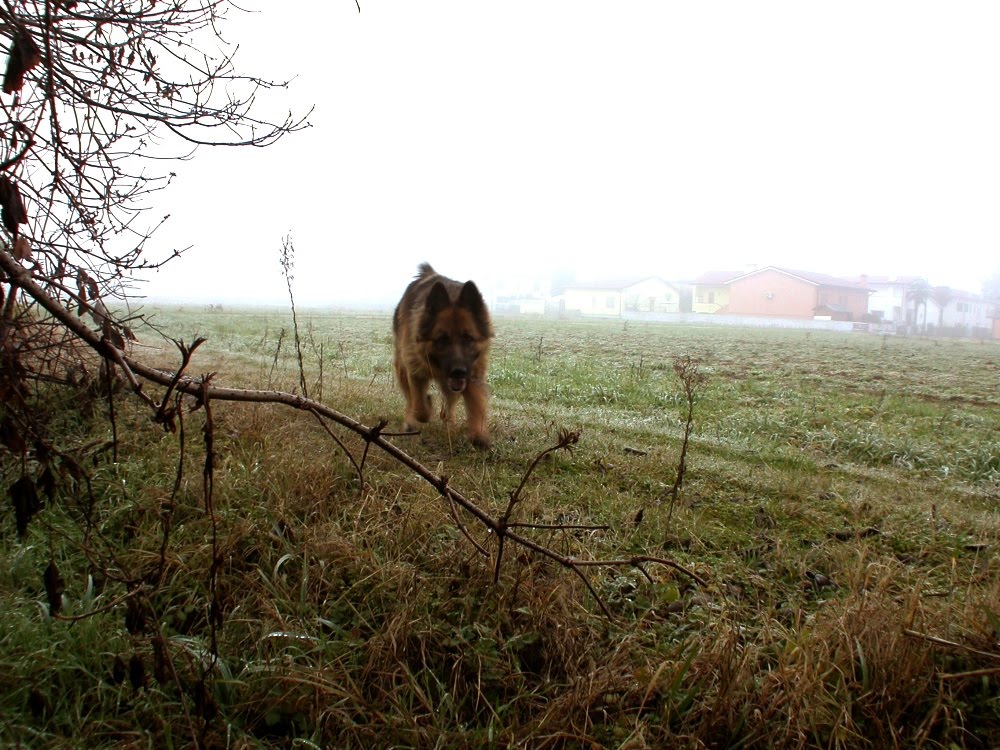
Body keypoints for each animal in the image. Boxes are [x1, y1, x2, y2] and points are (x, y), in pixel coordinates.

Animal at [394, 264, 496, 450]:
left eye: (468, 338)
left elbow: (477, 406)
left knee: (449, 403)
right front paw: (426, 405)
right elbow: (419, 409)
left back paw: (449, 420)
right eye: (442, 339)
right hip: (402, 368)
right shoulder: (415, 372)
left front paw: (479, 436)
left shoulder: (472, 376)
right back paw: (410, 421)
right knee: (410, 401)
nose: (458, 371)